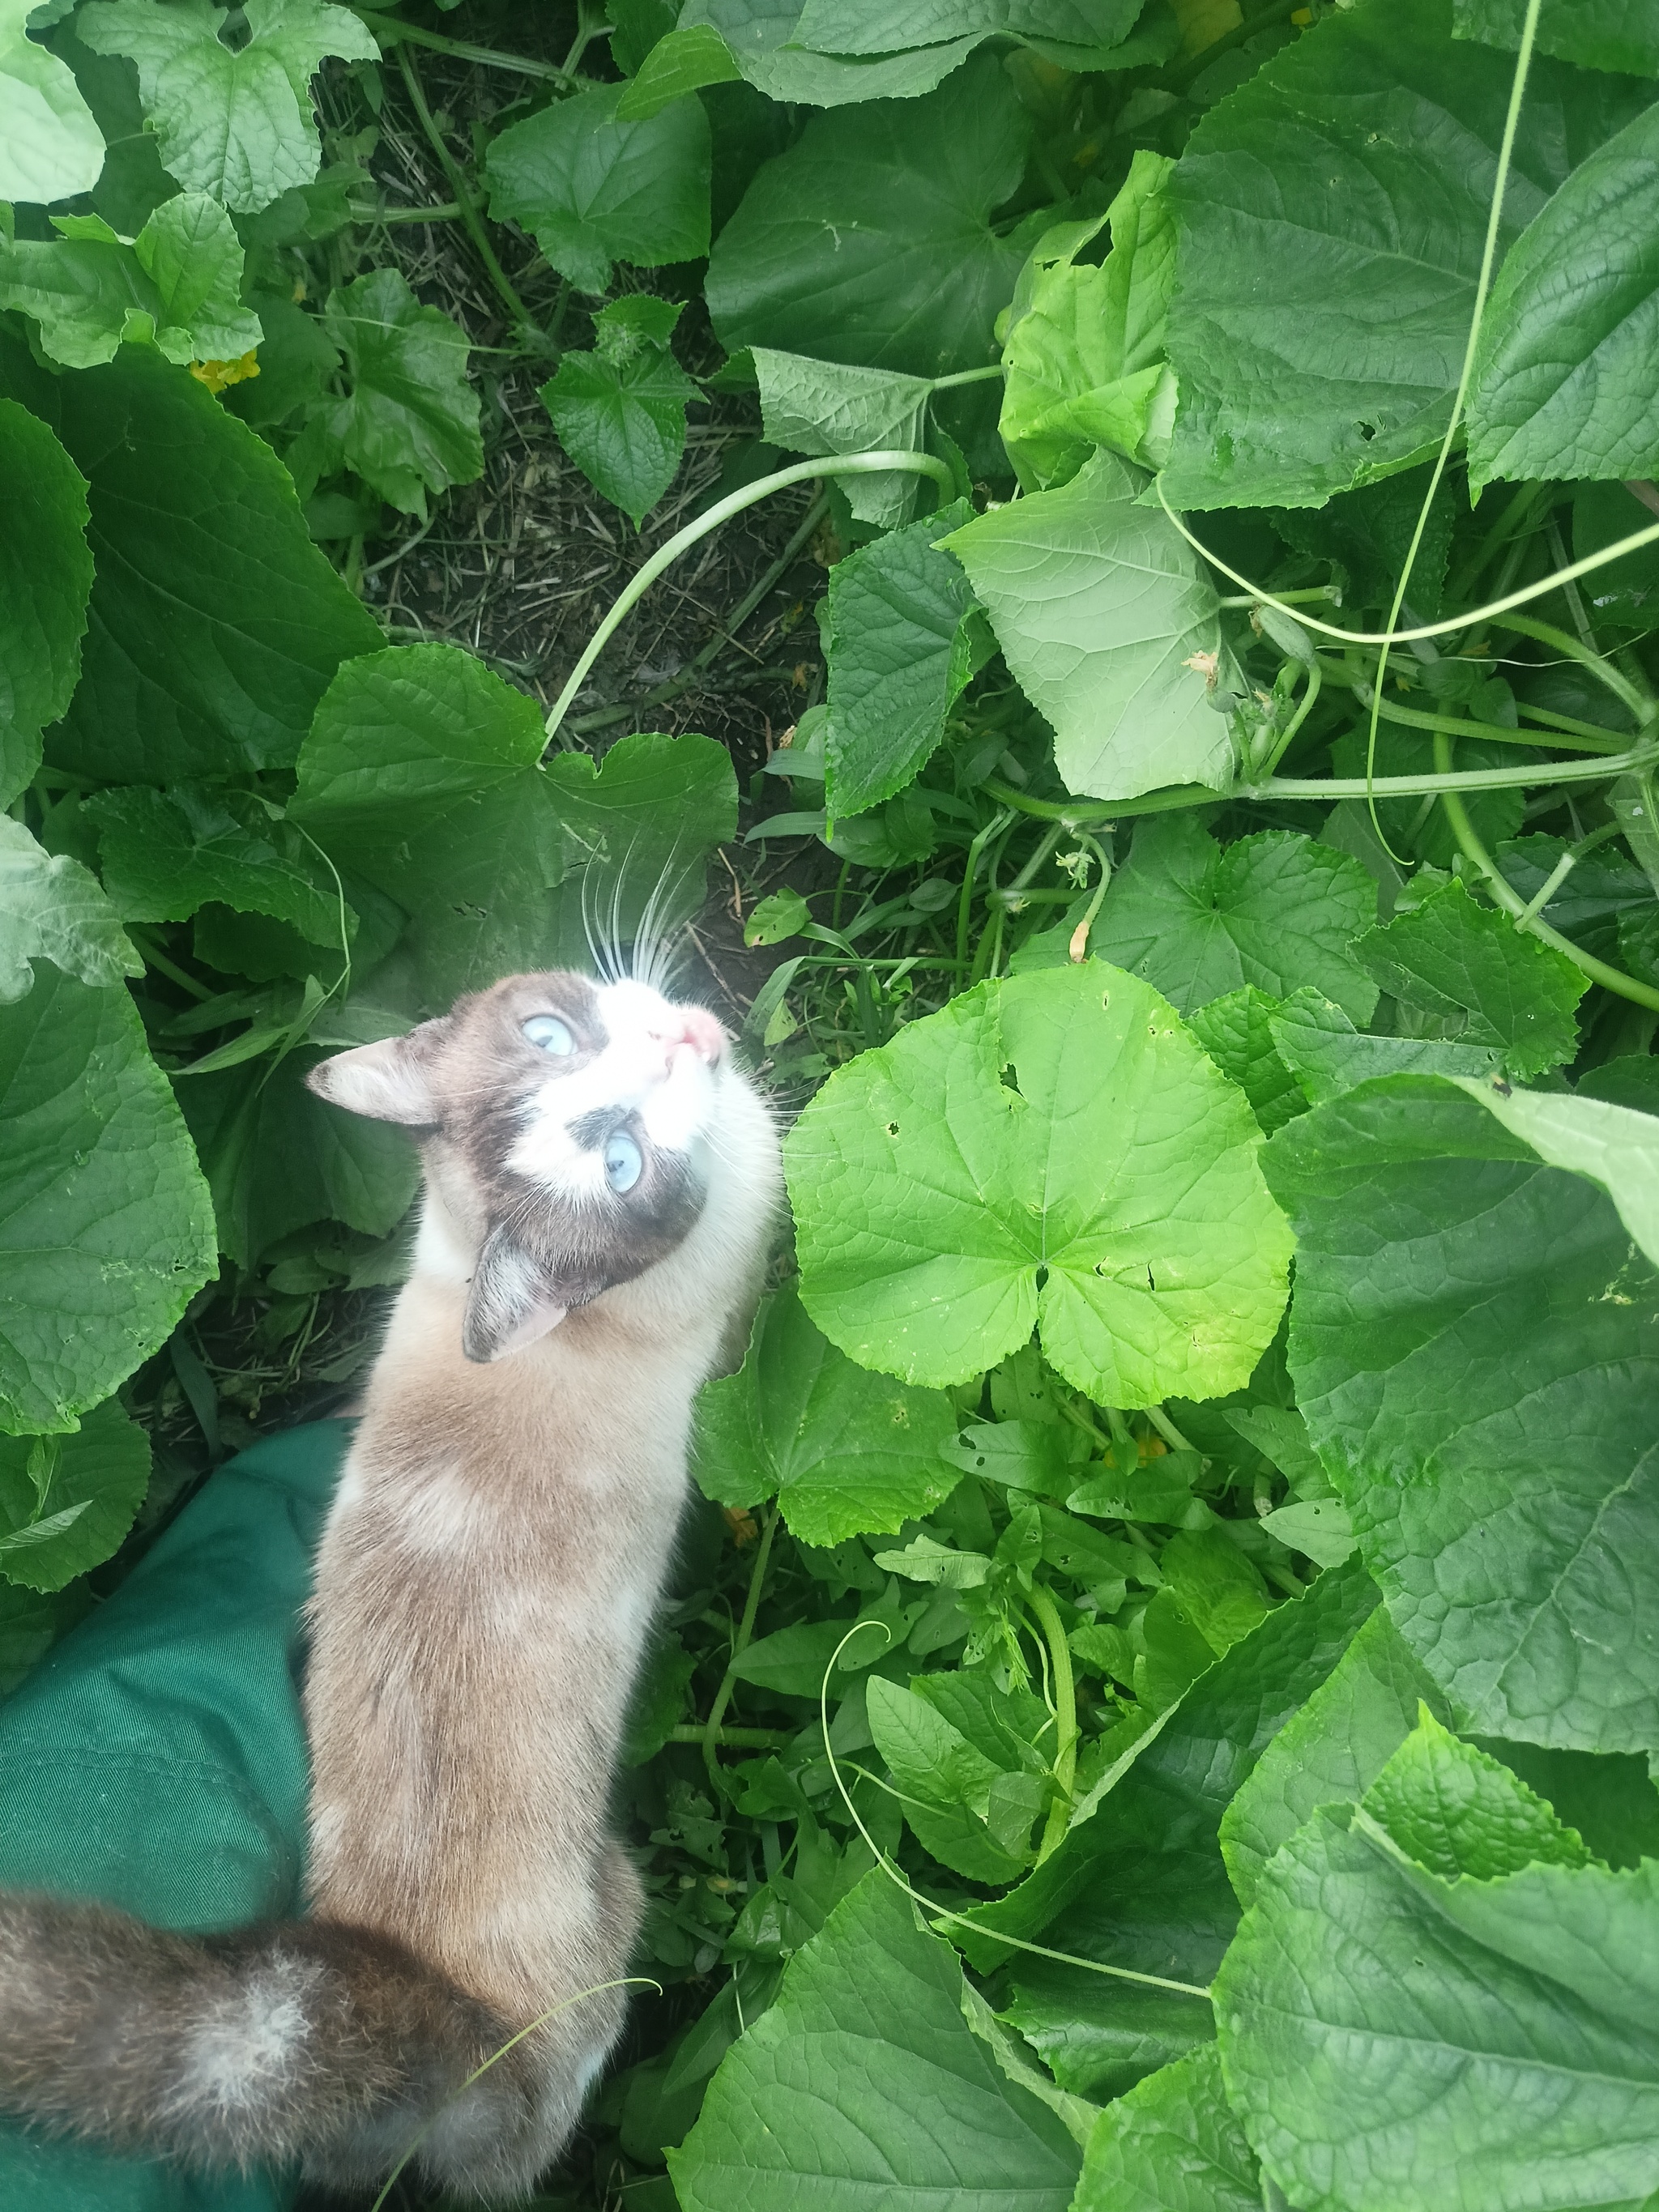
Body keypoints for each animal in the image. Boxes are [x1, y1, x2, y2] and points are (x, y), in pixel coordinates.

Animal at [0, 978, 783, 2203]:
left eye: (553, 1029)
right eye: (621, 1165)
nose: (683, 1036)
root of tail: (413, 1984)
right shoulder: (745, 1286)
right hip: (616, 1910)